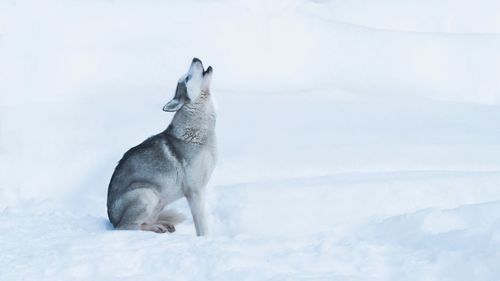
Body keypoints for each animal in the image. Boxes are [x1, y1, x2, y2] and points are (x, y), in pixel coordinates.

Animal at [106, 58, 216, 235]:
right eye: (187, 78)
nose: (195, 58)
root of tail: (111, 220)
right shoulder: (195, 191)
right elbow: (202, 226)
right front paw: (206, 239)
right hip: (147, 195)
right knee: (127, 228)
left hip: (158, 202)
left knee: (144, 223)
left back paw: (160, 226)